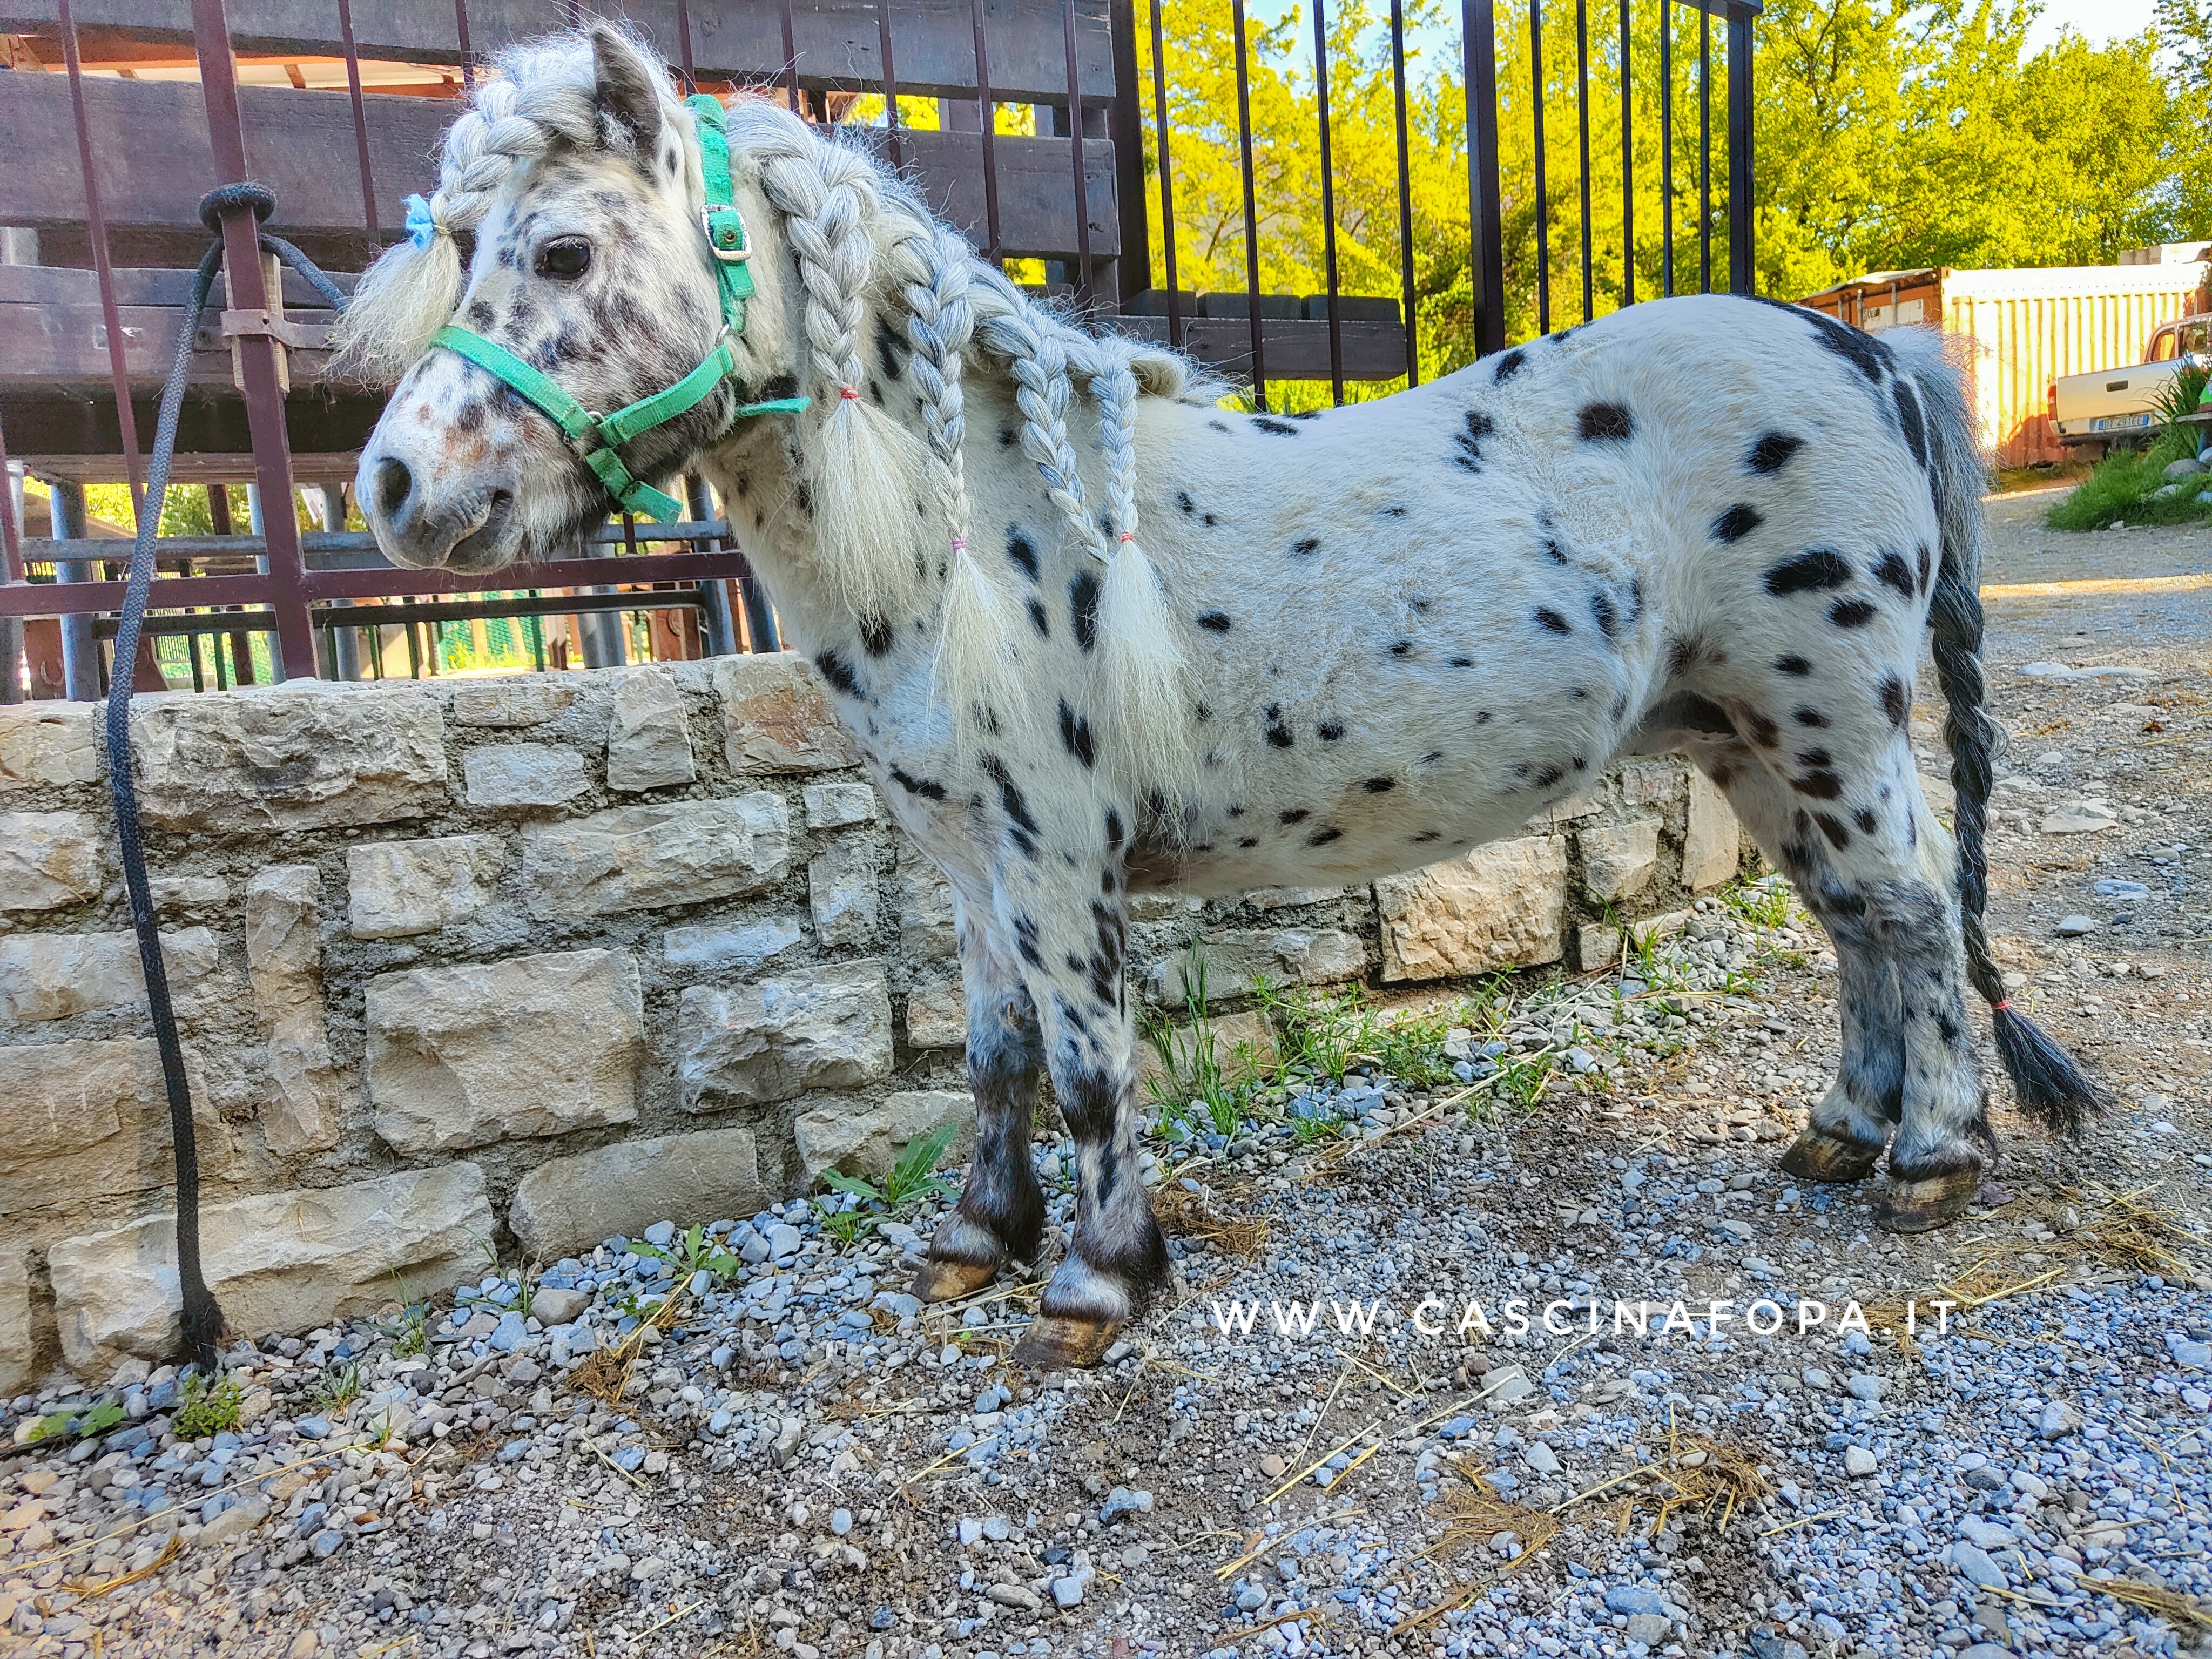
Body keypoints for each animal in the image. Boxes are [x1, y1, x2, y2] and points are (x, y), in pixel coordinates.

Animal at [339, 22, 2102, 1368]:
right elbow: (992, 1054)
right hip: (1748, 742)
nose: (399, 489)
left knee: (1913, 914)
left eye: (565, 251)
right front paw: (975, 1238)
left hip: (1829, 723)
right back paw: (1841, 1132)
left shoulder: (1055, 853)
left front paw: (1094, 1280)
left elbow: (1087, 1064)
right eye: (467, 253)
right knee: (1859, 924)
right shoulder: (968, 861)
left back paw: (1932, 1159)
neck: (964, 525)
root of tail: (1861, 350)